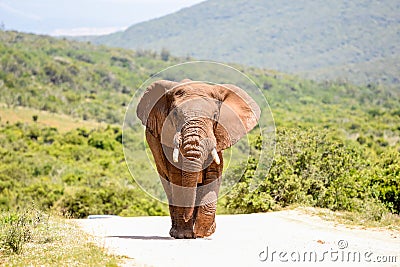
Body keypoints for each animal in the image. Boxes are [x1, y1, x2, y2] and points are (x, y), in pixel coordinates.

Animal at [136, 79, 260, 239]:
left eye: (215, 115)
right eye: (175, 114)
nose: (187, 218)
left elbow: (213, 174)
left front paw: (203, 232)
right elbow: (177, 177)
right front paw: (185, 235)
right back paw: (177, 232)